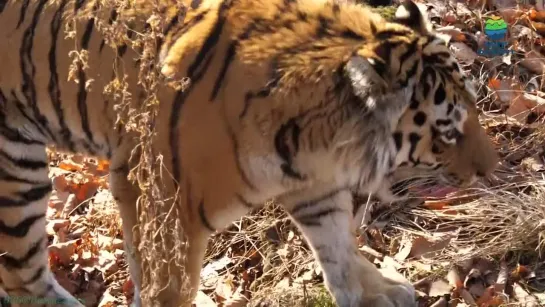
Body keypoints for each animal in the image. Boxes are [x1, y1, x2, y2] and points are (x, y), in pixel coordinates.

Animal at [0, 0, 498, 306]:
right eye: (448, 130)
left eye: (475, 107)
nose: (490, 171)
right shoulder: (158, 197)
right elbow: (168, 285)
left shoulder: (315, 186)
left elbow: (337, 244)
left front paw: (372, 293)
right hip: (16, 165)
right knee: (22, 270)